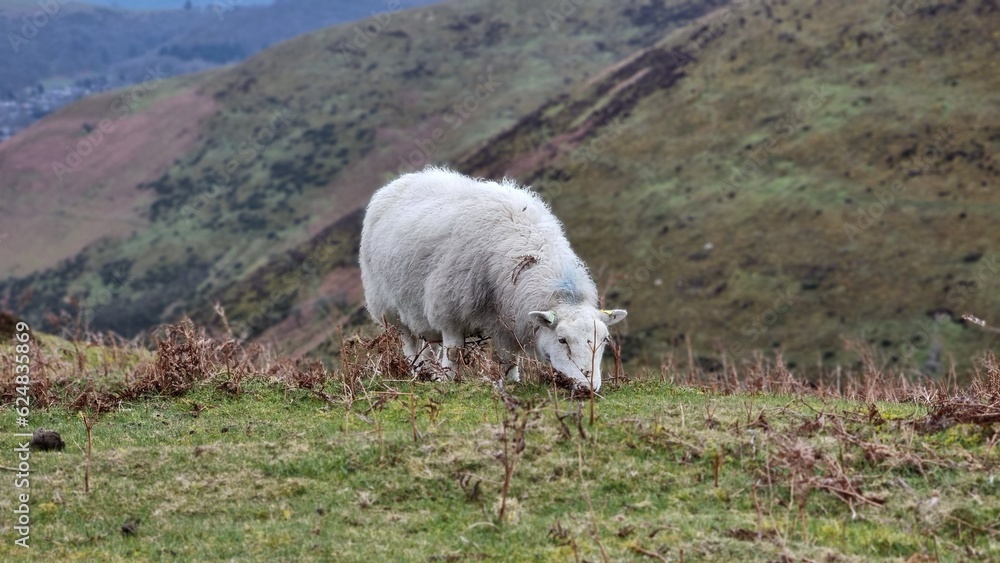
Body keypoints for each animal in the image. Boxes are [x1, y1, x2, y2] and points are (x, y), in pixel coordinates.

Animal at [359, 167, 626, 392]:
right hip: (388, 305)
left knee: (426, 343)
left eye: (604, 340)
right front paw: (448, 380)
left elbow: (508, 358)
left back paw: (426, 370)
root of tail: (400, 180)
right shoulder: (449, 309)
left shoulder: (505, 321)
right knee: (409, 341)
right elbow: (454, 352)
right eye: (562, 340)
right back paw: (416, 371)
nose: (588, 388)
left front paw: (512, 382)